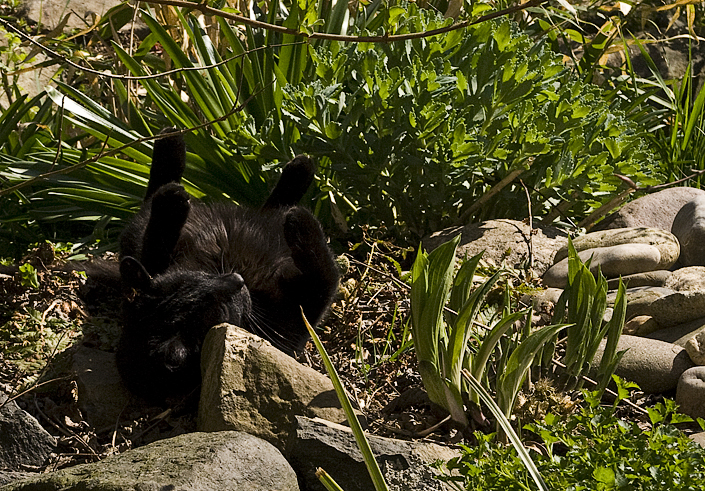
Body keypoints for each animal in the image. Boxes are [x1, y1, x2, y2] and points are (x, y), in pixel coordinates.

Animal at [113, 129, 338, 402]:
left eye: (199, 279)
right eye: (219, 311)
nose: (236, 280)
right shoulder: (299, 319)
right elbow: (326, 272)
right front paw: (302, 221)